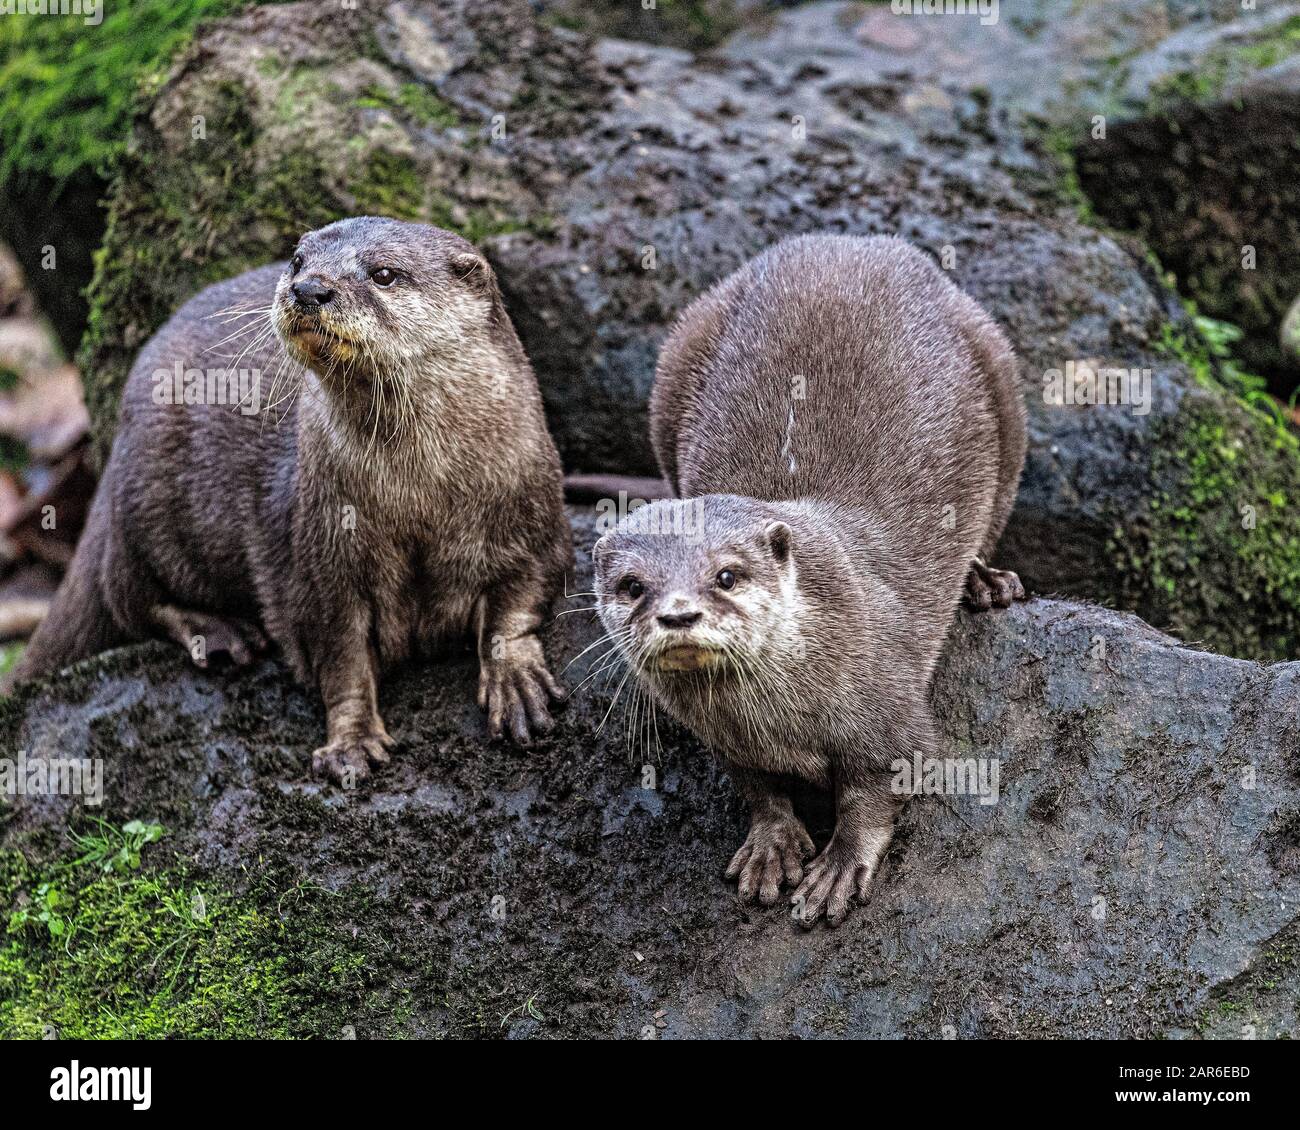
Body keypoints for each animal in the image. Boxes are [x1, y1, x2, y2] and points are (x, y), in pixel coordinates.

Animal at [12, 217, 571, 782]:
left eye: (384, 273)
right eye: (298, 260)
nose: (309, 288)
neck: (419, 497)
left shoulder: (532, 511)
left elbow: (519, 599)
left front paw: (514, 679)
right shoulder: (316, 562)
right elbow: (340, 659)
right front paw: (351, 740)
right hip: (147, 501)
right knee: (126, 592)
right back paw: (218, 631)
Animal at [592, 234, 1026, 926]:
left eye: (726, 575)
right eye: (634, 586)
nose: (678, 614)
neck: (778, 719)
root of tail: (859, 240)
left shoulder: (888, 705)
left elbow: (878, 787)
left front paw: (841, 866)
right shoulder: (727, 742)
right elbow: (755, 785)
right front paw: (771, 845)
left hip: (999, 369)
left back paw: (985, 582)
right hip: (680, 353)